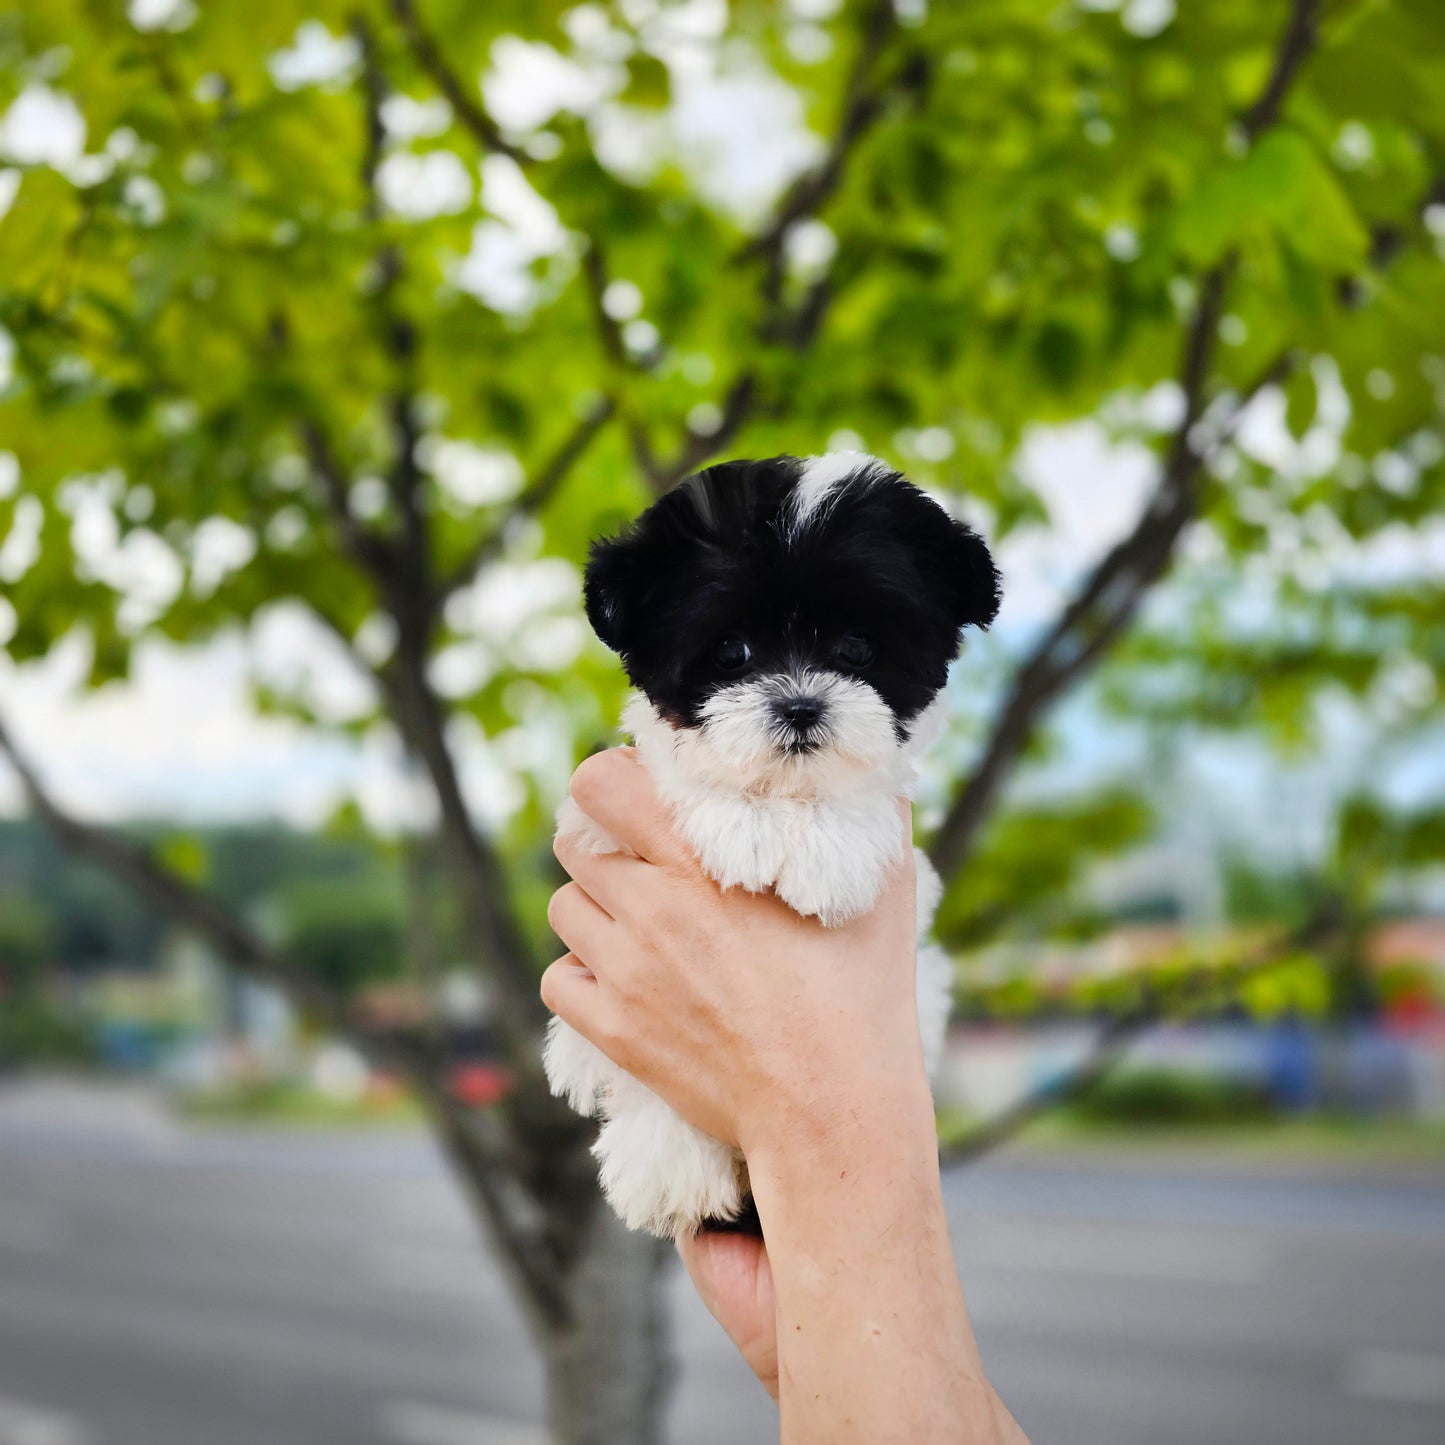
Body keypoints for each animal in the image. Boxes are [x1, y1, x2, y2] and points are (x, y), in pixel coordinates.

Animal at [546, 453, 999, 1242]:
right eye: (733, 650)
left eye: (856, 648)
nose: (799, 706)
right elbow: (683, 771)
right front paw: (741, 821)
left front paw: (828, 849)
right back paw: (670, 1164)